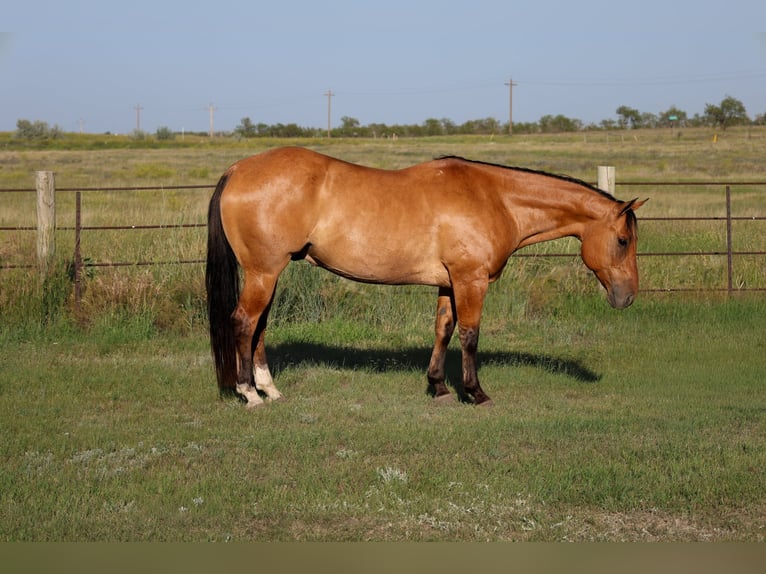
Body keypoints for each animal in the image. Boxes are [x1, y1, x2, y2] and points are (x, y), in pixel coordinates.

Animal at [206, 146, 645, 408]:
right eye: (623, 240)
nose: (627, 297)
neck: (495, 198)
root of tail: (238, 168)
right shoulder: (471, 280)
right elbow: (469, 334)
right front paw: (476, 392)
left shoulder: (449, 282)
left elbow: (443, 330)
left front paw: (438, 386)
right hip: (264, 272)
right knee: (244, 322)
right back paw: (250, 393)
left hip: (269, 274)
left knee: (260, 326)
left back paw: (270, 388)